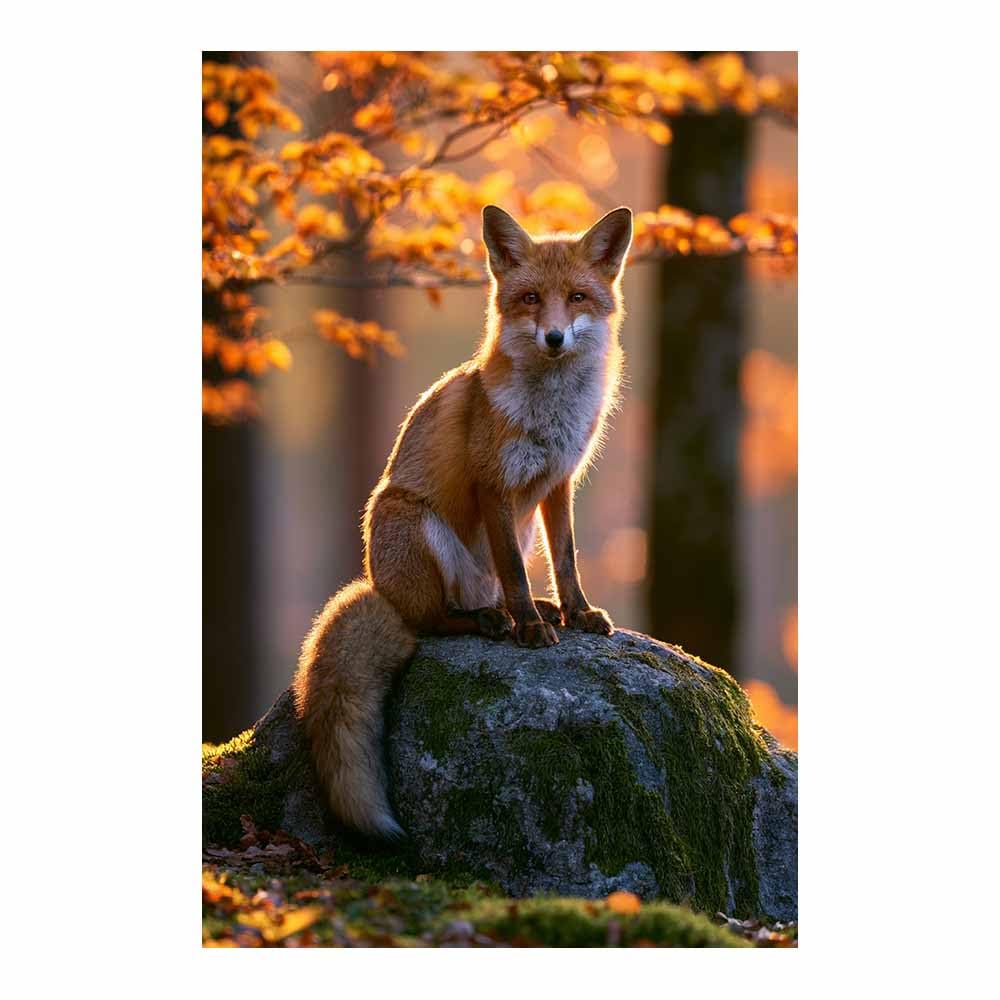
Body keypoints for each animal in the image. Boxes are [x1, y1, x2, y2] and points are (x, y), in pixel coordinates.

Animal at [292, 203, 634, 839]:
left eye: (576, 297)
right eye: (530, 299)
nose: (554, 338)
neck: (550, 413)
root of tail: (376, 586)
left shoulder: (557, 484)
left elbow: (566, 562)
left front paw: (575, 612)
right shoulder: (494, 484)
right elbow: (518, 575)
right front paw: (531, 629)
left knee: (479, 594)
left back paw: (514, 611)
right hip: (415, 523)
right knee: (432, 622)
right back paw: (491, 622)